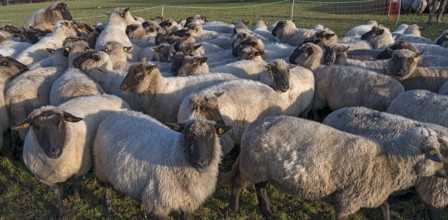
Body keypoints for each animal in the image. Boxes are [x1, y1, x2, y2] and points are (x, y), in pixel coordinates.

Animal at [92, 111, 229, 219]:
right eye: (187, 135)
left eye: (211, 136)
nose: (202, 163)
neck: (173, 153)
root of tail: (114, 115)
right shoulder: (159, 204)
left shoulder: (188, 203)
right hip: (102, 166)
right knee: (107, 184)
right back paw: (108, 204)